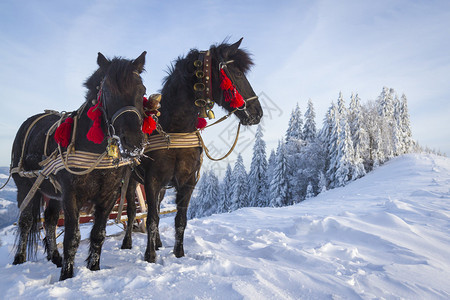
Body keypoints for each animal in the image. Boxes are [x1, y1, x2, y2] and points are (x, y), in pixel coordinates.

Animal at [11, 52, 148, 280]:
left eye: (142, 90)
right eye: (107, 91)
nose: (134, 142)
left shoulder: (108, 195)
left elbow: (98, 234)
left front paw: (94, 268)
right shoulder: (71, 194)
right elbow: (72, 237)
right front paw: (67, 275)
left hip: (53, 192)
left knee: (49, 220)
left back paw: (55, 258)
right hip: (25, 186)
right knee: (26, 221)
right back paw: (19, 259)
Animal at [122, 38, 264, 262]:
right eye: (239, 74)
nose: (257, 112)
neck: (176, 129)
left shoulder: (187, 182)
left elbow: (180, 220)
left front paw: (178, 254)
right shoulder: (152, 181)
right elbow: (151, 219)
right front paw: (150, 256)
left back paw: (159, 242)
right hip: (133, 182)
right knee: (131, 213)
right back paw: (127, 243)